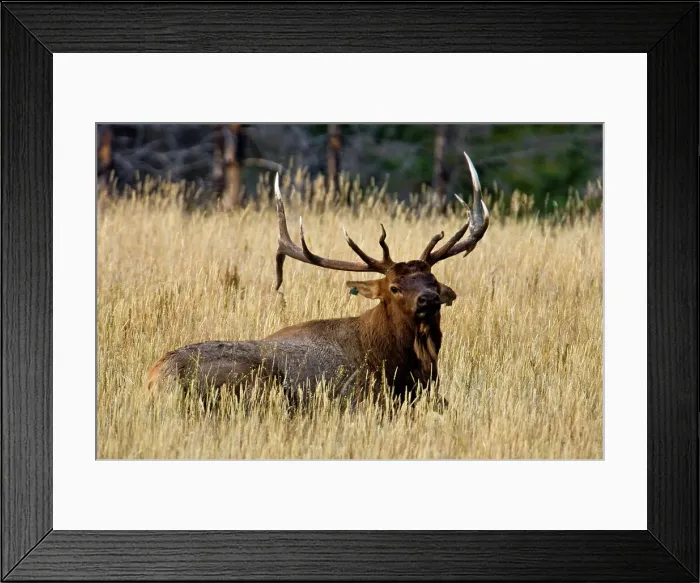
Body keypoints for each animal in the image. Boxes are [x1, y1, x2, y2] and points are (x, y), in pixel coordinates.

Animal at [146, 152, 490, 412]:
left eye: (433, 279)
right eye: (394, 287)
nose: (429, 299)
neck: (403, 366)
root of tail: (156, 378)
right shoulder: (359, 397)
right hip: (257, 382)